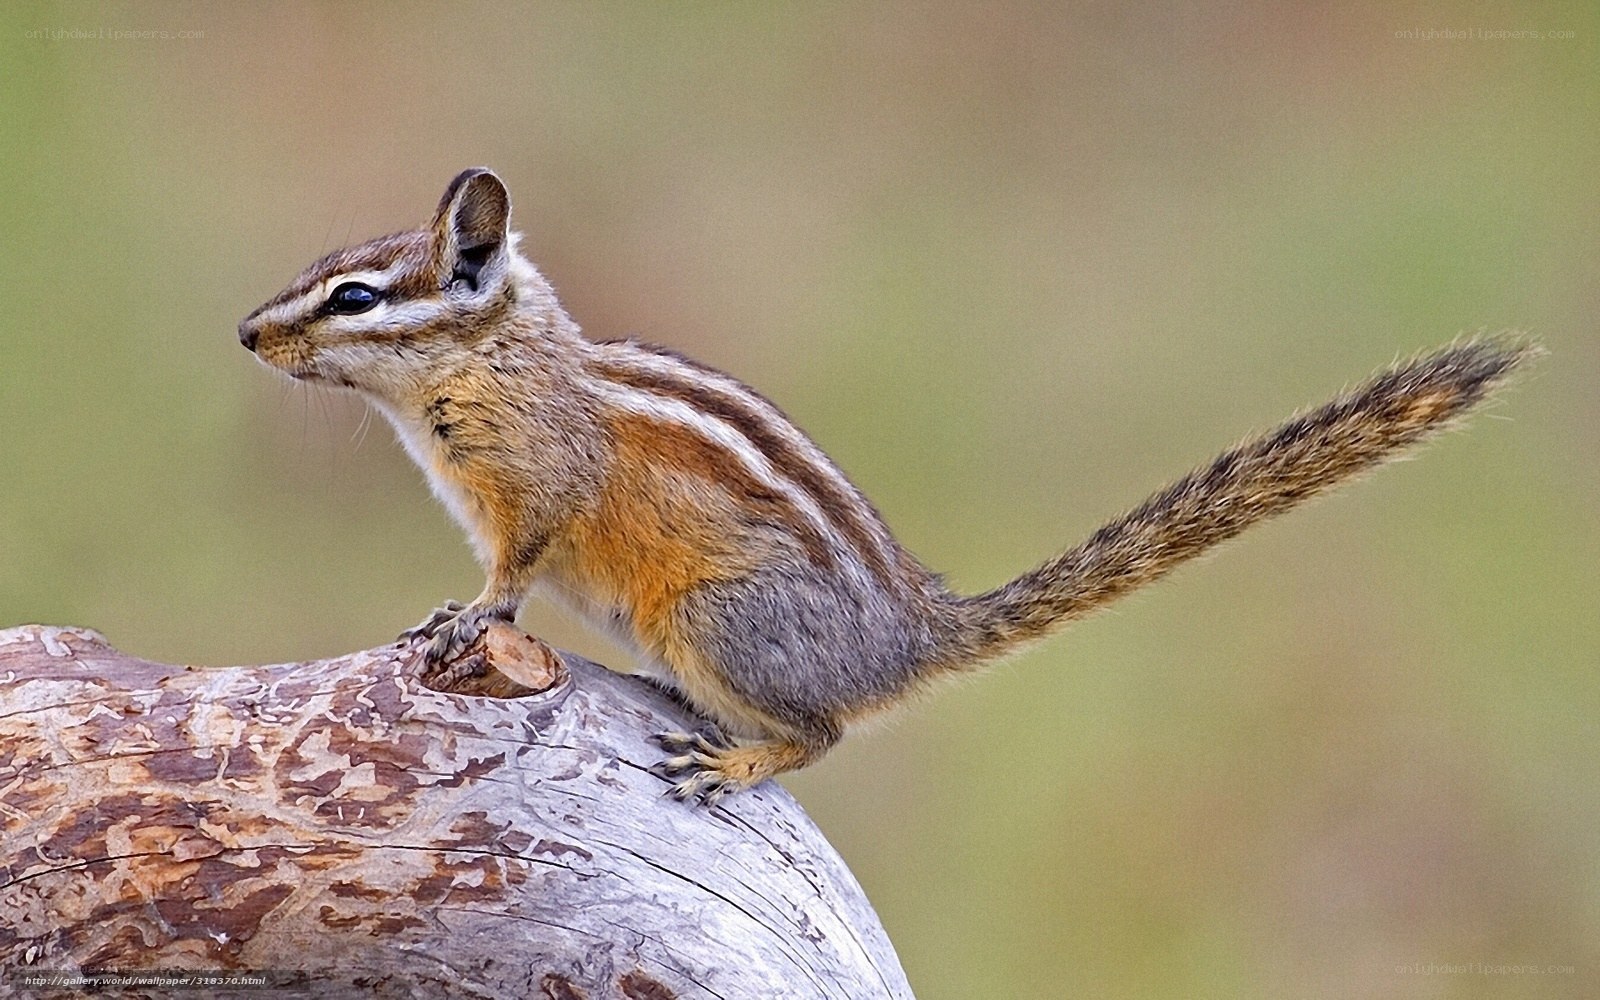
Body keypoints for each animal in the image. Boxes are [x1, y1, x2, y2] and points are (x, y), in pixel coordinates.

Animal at [239, 168, 1535, 804]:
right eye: (324, 272)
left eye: (355, 297)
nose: (247, 333)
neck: (493, 358)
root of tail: (907, 635)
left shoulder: (536, 489)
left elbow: (515, 567)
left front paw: (467, 617)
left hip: (716, 616)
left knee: (823, 733)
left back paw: (738, 758)